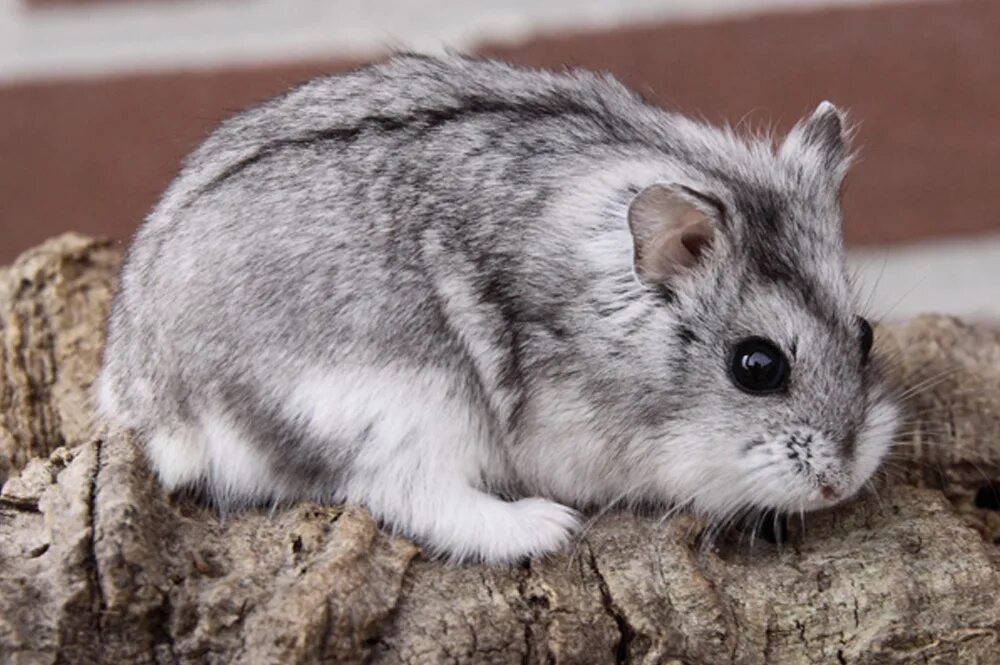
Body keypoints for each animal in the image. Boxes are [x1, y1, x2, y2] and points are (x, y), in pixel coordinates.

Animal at [97, 54, 904, 564]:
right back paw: (546, 528)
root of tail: (149, 395)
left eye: (865, 334)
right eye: (756, 365)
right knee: (396, 493)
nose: (843, 482)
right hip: (401, 404)